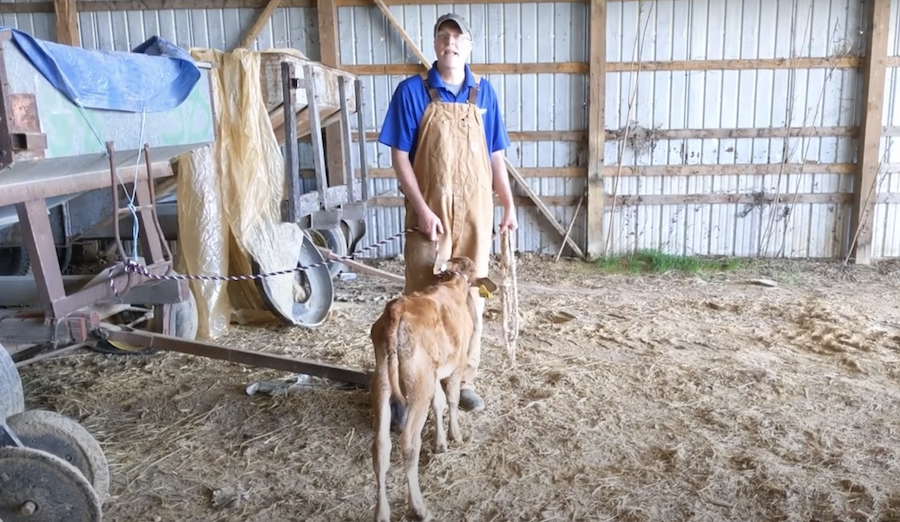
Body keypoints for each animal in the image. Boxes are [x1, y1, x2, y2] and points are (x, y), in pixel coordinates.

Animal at [370, 254, 502, 516]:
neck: (453, 284)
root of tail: (396, 309)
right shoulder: (456, 364)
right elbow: (450, 398)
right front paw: (455, 435)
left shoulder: (435, 372)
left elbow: (438, 402)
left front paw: (440, 442)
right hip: (418, 385)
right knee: (409, 443)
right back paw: (419, 507)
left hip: (382, 381)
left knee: (381, 446)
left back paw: (382, 513)